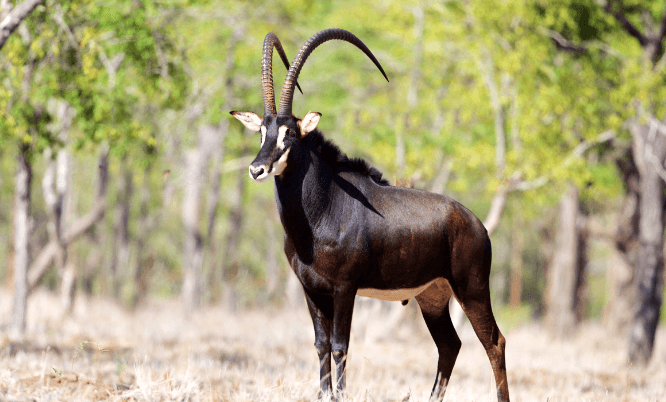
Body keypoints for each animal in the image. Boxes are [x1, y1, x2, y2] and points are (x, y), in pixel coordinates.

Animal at [231, 28, 510, 402]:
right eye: (262, 131)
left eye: (290, 132)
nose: (257, 169)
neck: (321, 213)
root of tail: (477, 225)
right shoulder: (311, 290)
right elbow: (320, 345)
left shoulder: (344, 287)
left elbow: (339, 346)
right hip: (432, 296)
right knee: (450, 345)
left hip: (472, 288)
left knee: (494, 342)